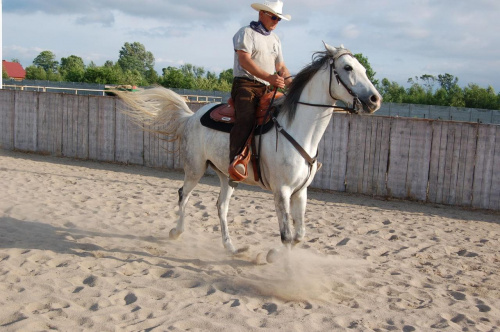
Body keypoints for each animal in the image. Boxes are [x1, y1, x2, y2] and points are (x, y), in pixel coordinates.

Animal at [117, 42, 380, 256]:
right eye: (347, 68)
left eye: (364, 69)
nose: (375, 100)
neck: (297, 129)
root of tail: (191, 116)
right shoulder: (281, 191)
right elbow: (287, 235)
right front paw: (278, 261)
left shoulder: (300, 192)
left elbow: (299, 235)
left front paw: (274, 255)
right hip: (194, 169)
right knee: (184, 195)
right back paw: (177, 232)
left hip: (227, 176)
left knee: (221, 207)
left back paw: (231, 247)